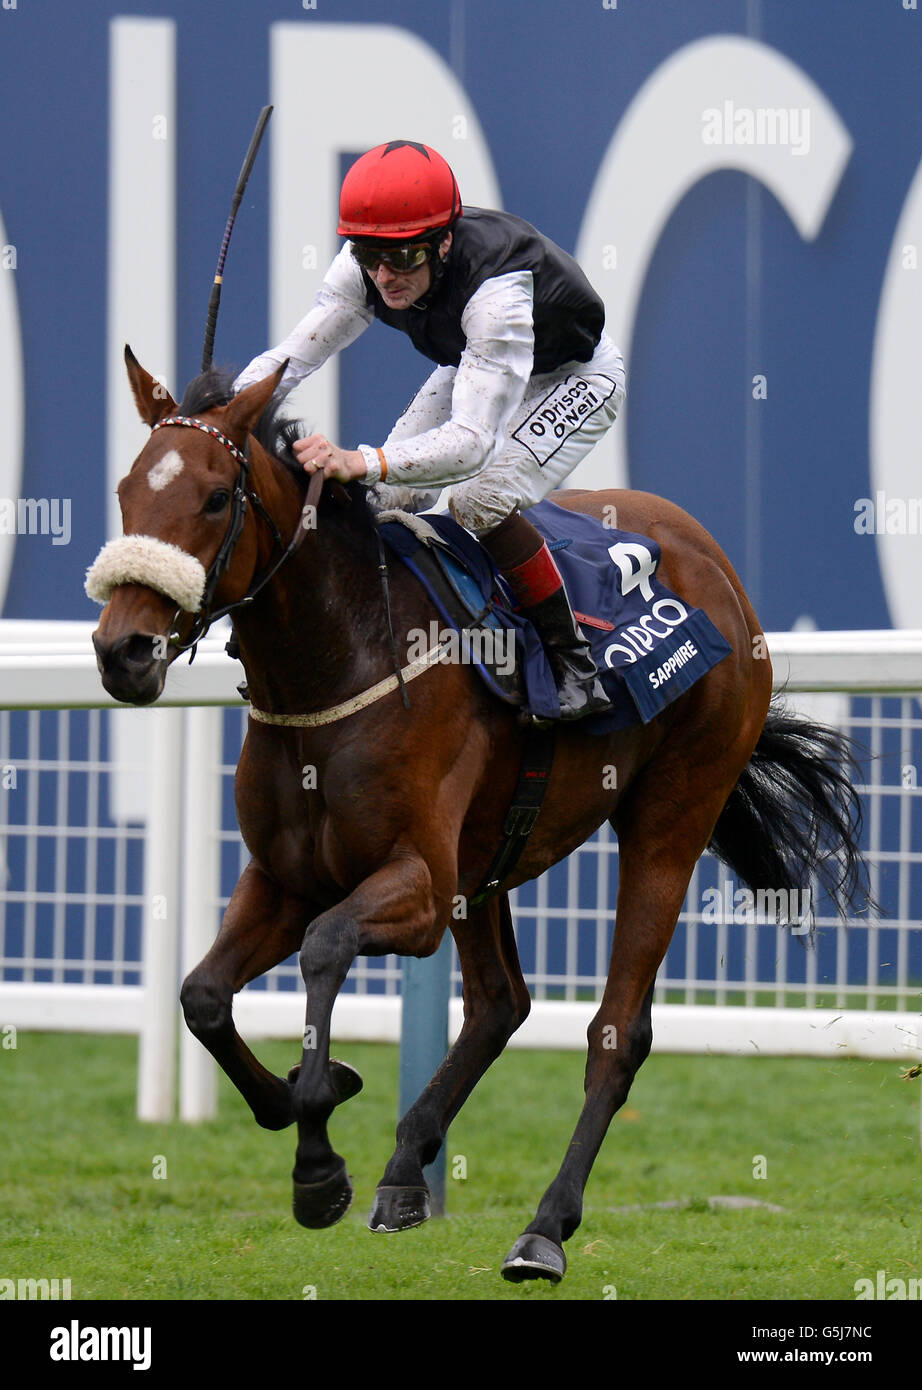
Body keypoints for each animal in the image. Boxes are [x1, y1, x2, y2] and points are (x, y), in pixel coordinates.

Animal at [88, 353, 867, 1284]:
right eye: (127, 490)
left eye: (213, 498)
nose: (122, 651)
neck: (342, 658)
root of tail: (713, 558)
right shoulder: (286, 877)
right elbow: (202, 995)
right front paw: (312, 1098)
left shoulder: (416, 885)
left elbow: (325, 945)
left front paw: (318, 1157)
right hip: (489, 854)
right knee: (501, 1002)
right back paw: (405, 1168)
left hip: (673, 813)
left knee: (617, 1033)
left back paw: (543, 1229)